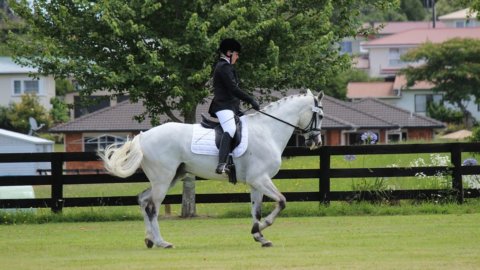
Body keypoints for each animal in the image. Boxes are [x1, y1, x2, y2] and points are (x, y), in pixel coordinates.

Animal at [99, 89, 324, 248]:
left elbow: (256, 210)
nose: (317, 142)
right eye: (320, 116)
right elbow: (282, 201)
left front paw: (259, 235)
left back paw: (149, 240)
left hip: (170, 177)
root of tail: (143, 136)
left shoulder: (256, 182)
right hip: (163, 179)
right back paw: (163, 242)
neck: (267, 130)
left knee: (143, 199)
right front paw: (261, 228)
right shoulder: (261, 179)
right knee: (152, 207)